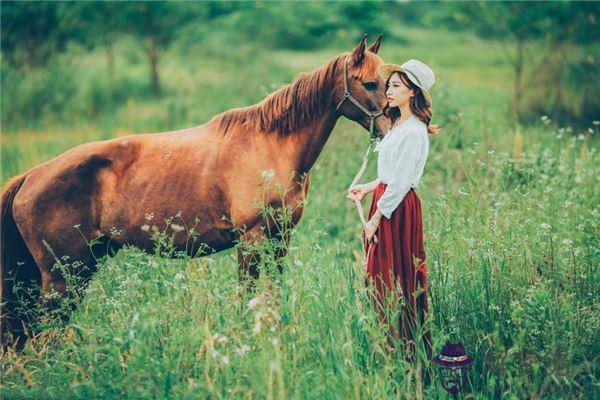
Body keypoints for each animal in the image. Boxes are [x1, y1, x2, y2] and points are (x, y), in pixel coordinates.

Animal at [0, 34, 392, 346]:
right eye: (371, 84)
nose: (393, 125)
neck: (271, 145)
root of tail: (29, 178)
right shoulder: (251, 241)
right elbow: (247, 297)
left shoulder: (280, 239)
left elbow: (272, 296)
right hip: (62, 277)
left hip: (75, 272)